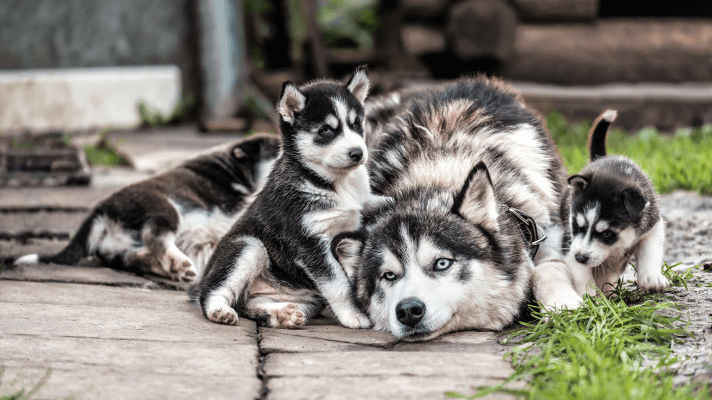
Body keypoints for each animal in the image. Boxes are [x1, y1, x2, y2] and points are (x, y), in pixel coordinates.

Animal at [13, 134, 280, 282]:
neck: (236, 168)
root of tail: (101, 210)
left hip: (121, 246)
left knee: (134, 256)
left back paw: (171, 268)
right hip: (164, 207)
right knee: (156, 237)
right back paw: (179, 264)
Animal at [191, 66, 390, 328]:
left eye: (356, 125)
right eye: (327, 130)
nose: (358, 153)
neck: (333, 183)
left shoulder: (356, 212)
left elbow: (373, 203)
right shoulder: (310, 242)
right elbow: (338, 284)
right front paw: (353, 315)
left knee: (248, 305)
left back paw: (280, 313)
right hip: (249, 246)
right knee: (214, 291)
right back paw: (219, 310)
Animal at [336, 76, 580, 340]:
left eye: (442, 263)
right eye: (388, 276)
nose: (408, 310)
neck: (437, 167)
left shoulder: (546, 227)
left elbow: (547, 268)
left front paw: (564, 305)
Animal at [560, 108, 668, 298]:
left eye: (607, 234)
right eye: (577, 226)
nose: (580, 257)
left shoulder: (653, 225)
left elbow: (650, 250)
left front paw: (652, 277)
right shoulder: (569, 241)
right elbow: (581, 273)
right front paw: (589, 295)